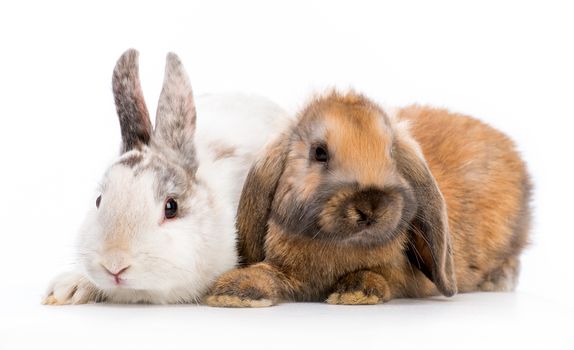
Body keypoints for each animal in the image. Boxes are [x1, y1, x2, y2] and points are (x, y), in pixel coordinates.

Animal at [205, 90, 532, 306]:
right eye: (319, 152)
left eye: (391, 153)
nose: (370, 205)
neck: (340, 244)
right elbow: (270, 274)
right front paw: (232, 291)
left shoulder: (401, 276)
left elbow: (382, 275)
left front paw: (355, 290)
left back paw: (497, 281)